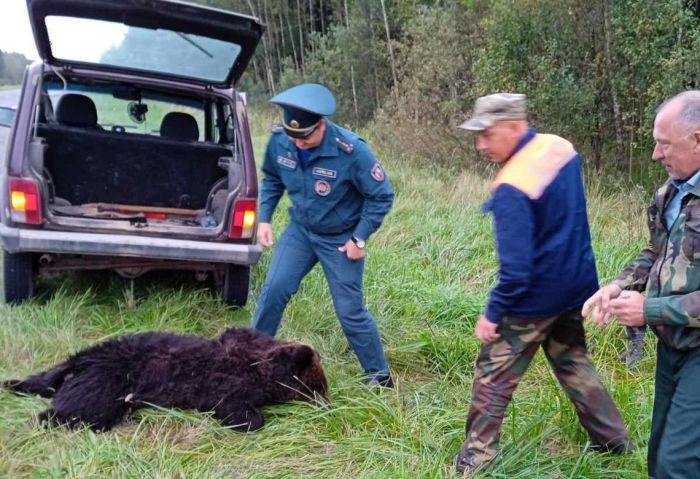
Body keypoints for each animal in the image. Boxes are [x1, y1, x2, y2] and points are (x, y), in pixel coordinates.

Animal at [1, 328, 330, 434]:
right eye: (319, 387)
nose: (328, 403)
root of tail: (82, 366)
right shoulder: (234, 384)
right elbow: (246, 415)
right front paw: (302, 352)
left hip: (82, 367)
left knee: (46, 381)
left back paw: (13, 383)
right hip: (103, 387)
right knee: (66, 413)